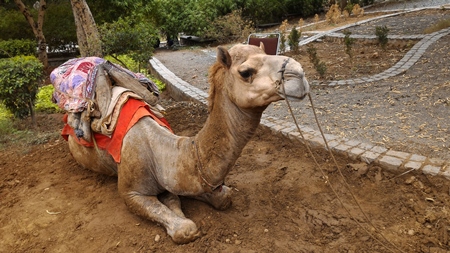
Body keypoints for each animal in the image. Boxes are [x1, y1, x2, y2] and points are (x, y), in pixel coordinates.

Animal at [67, 43, 310, 243]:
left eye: (269, 54)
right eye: (245, 72)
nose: (299, 73)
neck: (164, 152)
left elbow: (216, 196)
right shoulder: (130, 192)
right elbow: (185, 227)